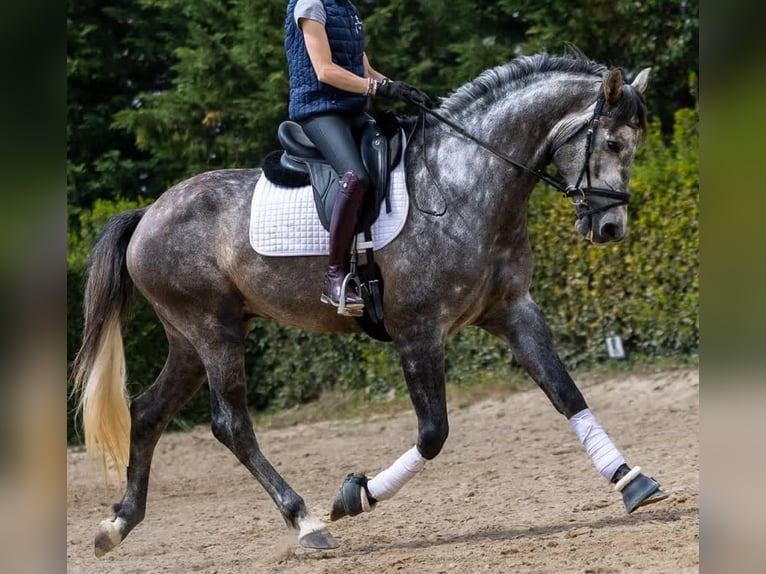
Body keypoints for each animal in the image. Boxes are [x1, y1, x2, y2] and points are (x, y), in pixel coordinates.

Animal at [72, 53, 667, 557]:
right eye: (614, 144)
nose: (611, 228)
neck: (467, 182)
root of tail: (149, 211)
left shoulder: (513, 310)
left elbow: (566, 393)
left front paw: (631, 480)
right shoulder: (417, 330)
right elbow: (433, 433)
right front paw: (353, 497)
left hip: (192, 338)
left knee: (147, 411)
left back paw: (117, 524)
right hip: (212, 328)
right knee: (230, 424)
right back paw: (307, 522)